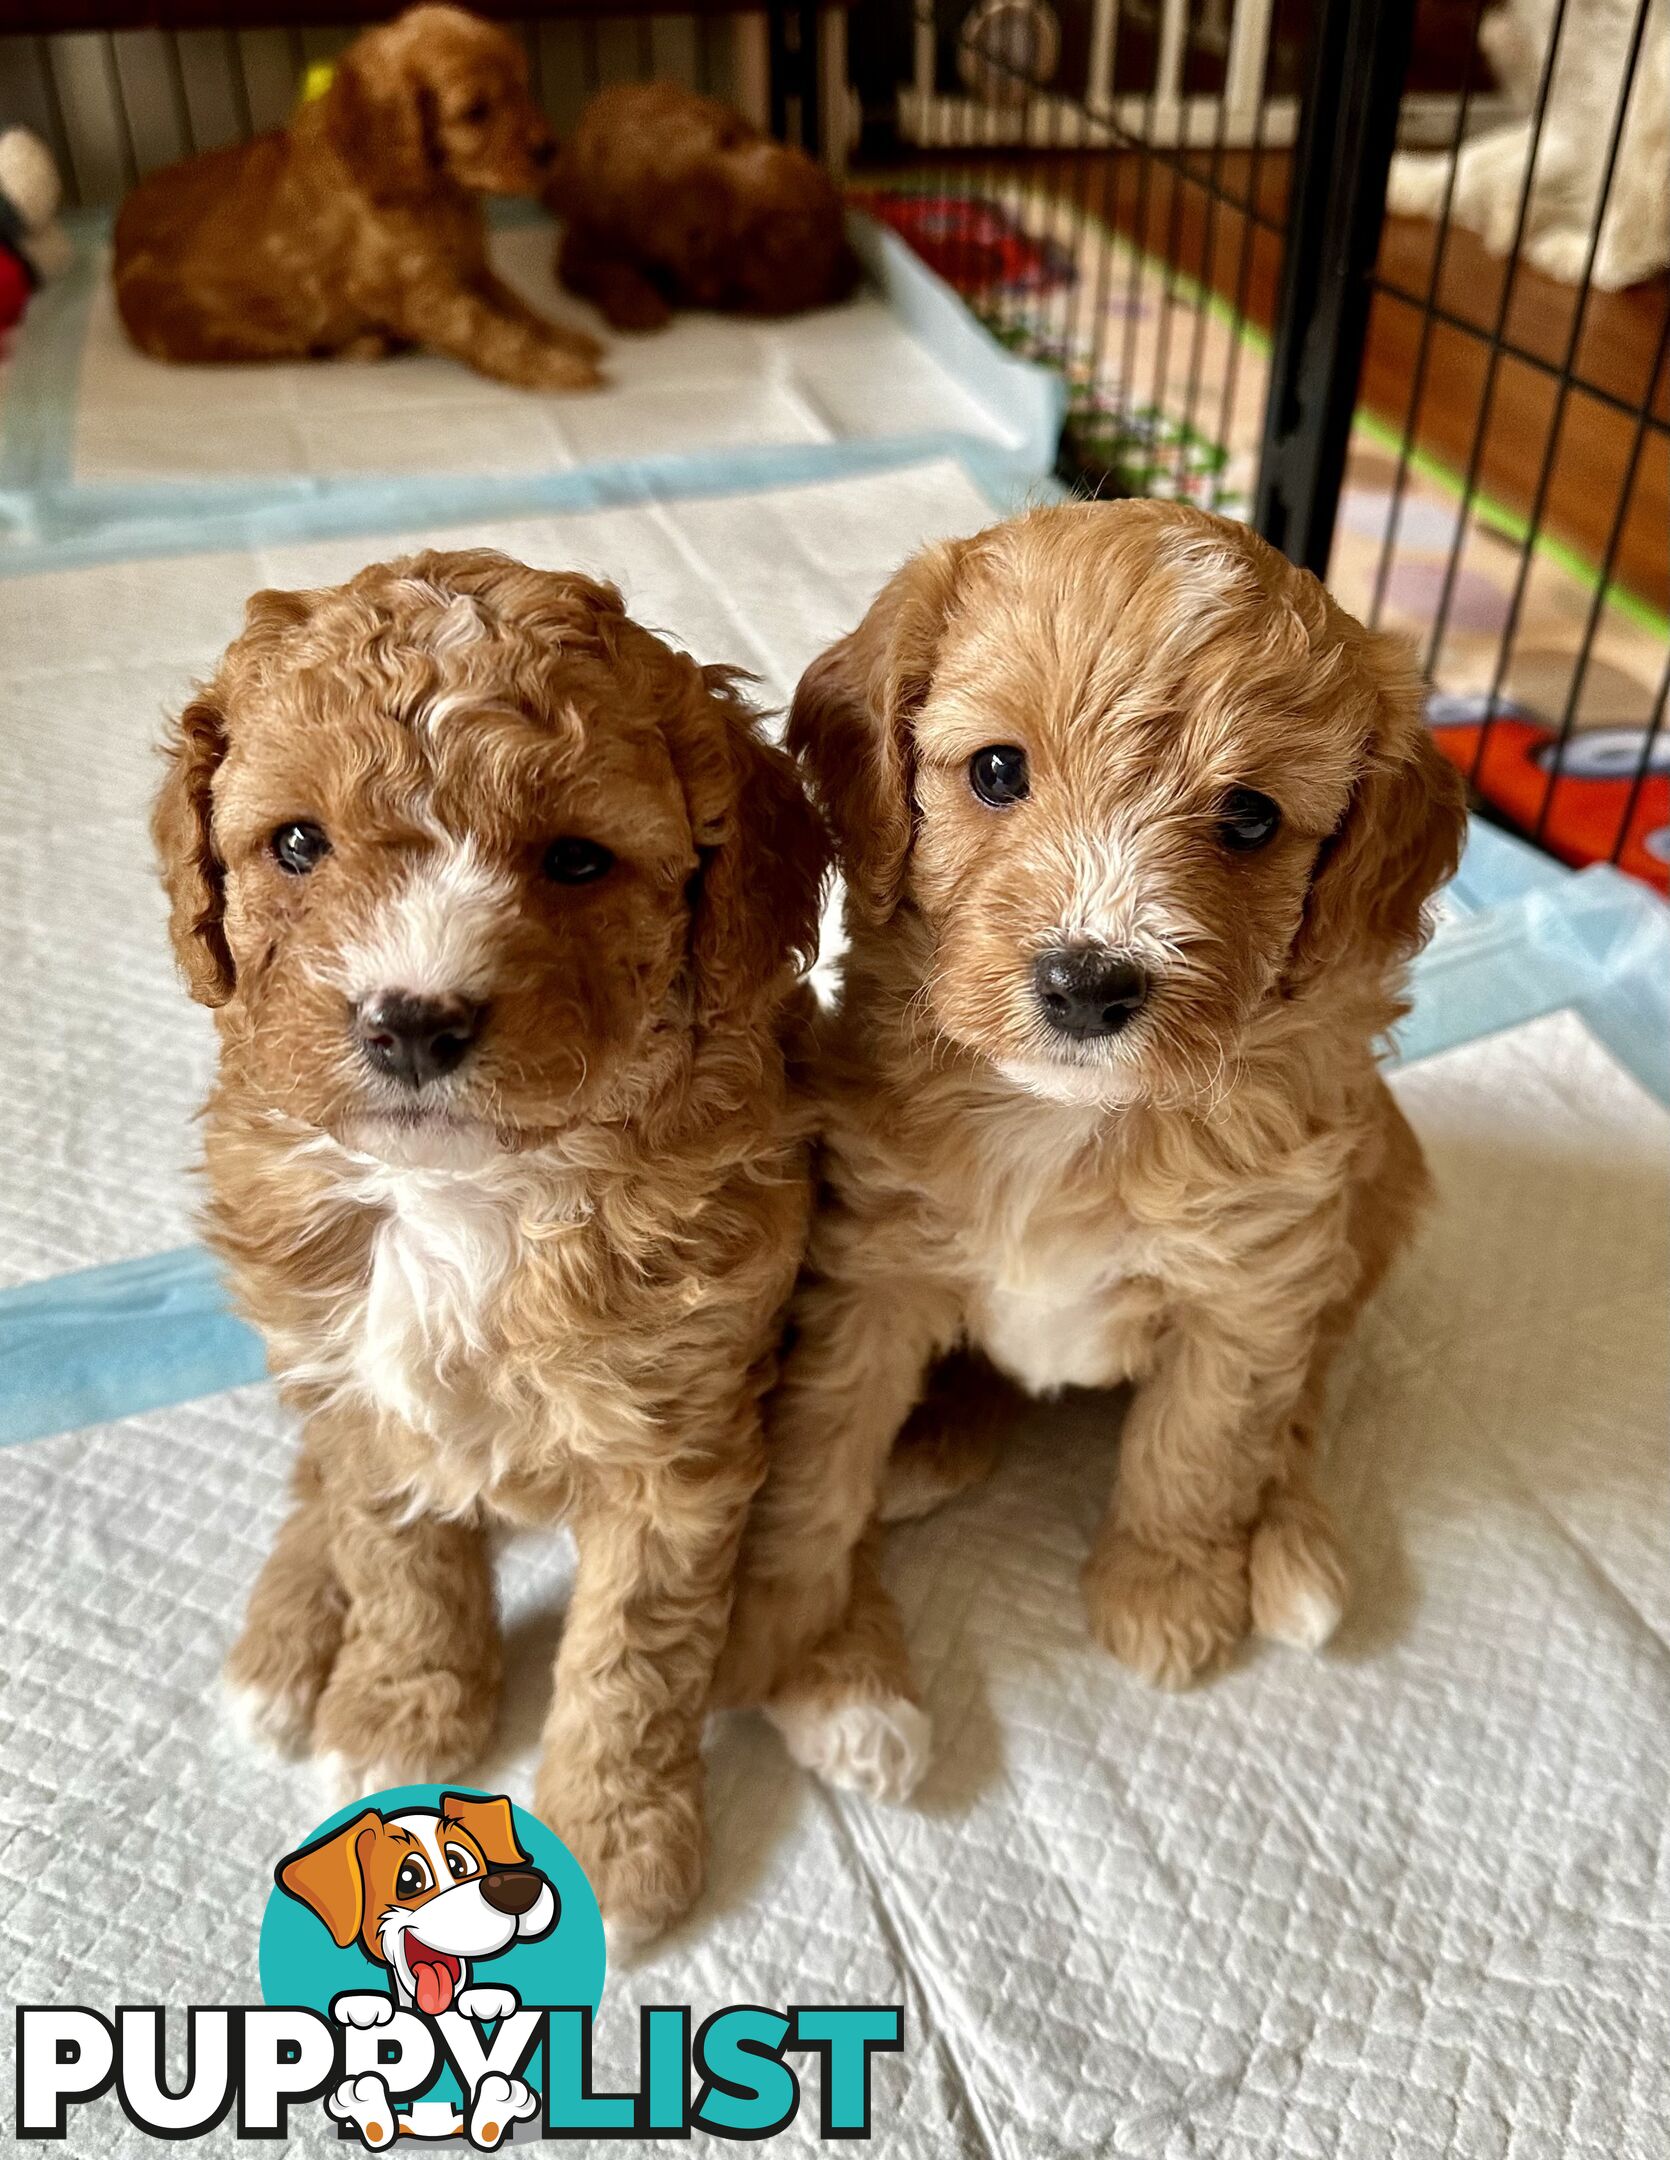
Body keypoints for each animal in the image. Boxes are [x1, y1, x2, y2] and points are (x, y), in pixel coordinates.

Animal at [109, 5, 600, 388]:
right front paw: (556, 368)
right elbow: (483, 328)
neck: (436, 192)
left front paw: (567, 338)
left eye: (522, 86)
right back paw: (369, 343)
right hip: (220, 334)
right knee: (303, 349)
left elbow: (516, 306)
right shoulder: (412, 288)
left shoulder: (471, 265)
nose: (550, 150)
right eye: (475, 112)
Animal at [156, 548, 825, 1935]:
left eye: (576, 860)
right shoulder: (359, 1378)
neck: (466, 1192)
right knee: (312, 1481)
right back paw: (284, 1647)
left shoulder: (679, 1439)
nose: (411, 1021)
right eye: (295, 843)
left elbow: (636, 1647)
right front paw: (396, 1720)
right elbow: (394, 1554)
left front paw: (614, 1834)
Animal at [550, 82, 855, 328]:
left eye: (735, 289)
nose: (698, 254)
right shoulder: (576, 252)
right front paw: (638, 305)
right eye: (700, 235)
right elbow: (611, 271)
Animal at [717, 496, 1460, 1797]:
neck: (1070, 1122)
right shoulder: (868, 1270)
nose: (1087, 983)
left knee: (1303, 1396)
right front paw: (779, 1621)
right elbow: (816, 1456)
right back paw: (935, 1440)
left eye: (1249, 817)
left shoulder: (1251, 1283)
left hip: (1372, 1200)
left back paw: (1291, 1554)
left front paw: (1163, 1594)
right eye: (995, 770)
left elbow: (1201, 1442)